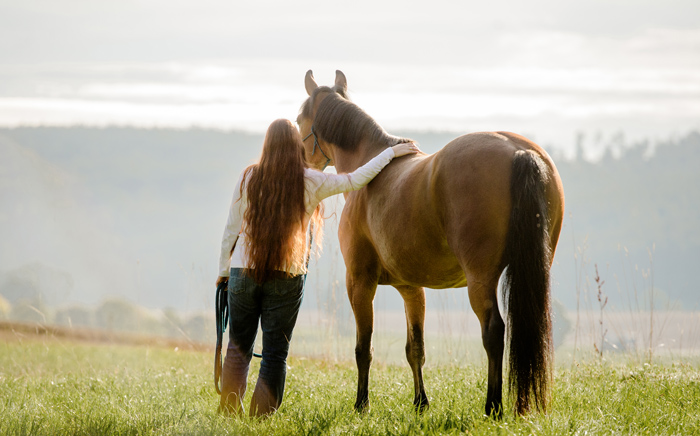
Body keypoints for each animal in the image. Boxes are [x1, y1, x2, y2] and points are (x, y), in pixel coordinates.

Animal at [296, 69, 564, 416]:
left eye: (299, 119)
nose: (303, 163)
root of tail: (520, 151)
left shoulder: (358, 281)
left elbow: (363, 348)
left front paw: (361, 405)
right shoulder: (411, 288)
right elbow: (416, 348)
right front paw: (421, 403)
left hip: (481, 279)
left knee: (494, 331)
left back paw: (492, 406)